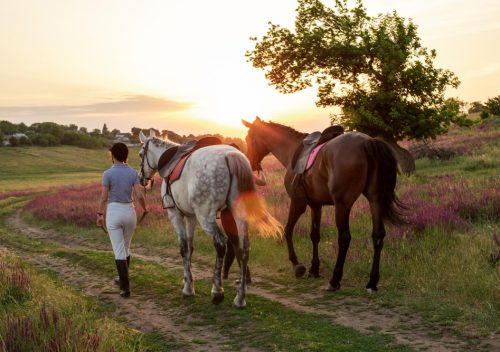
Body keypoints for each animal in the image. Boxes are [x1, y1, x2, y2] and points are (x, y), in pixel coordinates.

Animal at [139, 131, 284, 306]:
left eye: (140, 154)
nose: (141, 179)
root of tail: (231, 156)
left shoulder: (175, 214)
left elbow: (183, 248)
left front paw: (188, 288)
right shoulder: (191, 216)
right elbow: (190, 247)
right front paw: (187, 280)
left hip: (206, 217)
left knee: (221, 244)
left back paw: (217, 291)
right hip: (238, 215)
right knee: (244, 248)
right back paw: (240, 297)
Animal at [243, 117, 406, 290]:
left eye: (248, 138)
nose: (250, 162)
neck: (292, 151)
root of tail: (367, 141)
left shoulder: (298, 203)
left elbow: (287, 230)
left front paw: (297, 265)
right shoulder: (316, 205)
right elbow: (315, 235)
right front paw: (314, 269)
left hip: (342, 205)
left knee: (344, 238)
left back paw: (335, 279)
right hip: (375, 200)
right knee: (378, 235)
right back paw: (372, 282)